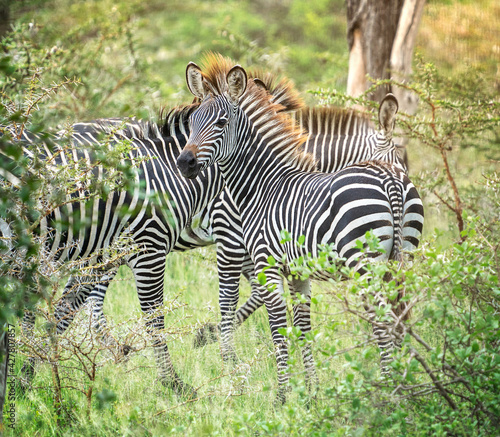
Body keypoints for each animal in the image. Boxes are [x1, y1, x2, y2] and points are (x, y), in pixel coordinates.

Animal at [5, 104, 225, 396]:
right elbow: (155, 318)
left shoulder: (100, 256)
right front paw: (175, 382)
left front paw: (27, 375)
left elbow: (65, 310)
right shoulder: (147, 249)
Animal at [176, 54, 422, 402]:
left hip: (365, 264)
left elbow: (278, 330)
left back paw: (390, 391)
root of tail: (390, 180)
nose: (184, 163)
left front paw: (281, 397)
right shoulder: (297, 272)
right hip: (403, 259)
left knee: (384, 320)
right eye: (192, 120)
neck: (263, 186)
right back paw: (403, 388)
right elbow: (303, 329)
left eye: (221, 124)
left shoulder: (264, 263)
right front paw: (312, 393)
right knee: (400, 318)